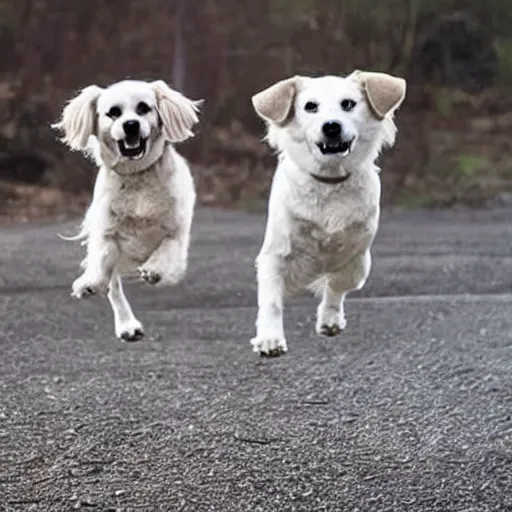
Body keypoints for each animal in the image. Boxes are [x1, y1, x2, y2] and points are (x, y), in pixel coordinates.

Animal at [52, 79, 202, 340]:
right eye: (113, 112)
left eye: (144, 108)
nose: (131, 124)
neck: (137, 176)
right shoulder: (107, 232)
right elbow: (102, 261)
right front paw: (89, 283)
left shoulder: (176, 232)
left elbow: (167, 249)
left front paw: (154, 270)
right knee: (114, 287)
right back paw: (127, 325)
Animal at [250, 70, 406, 354]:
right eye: (310, 106)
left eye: (348, 104)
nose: (331, 126)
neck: (330, 182)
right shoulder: (274, 255)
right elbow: (271, 301)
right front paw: (269, 339)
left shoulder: (357, 257)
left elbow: (337, 282)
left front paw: (329, 318)